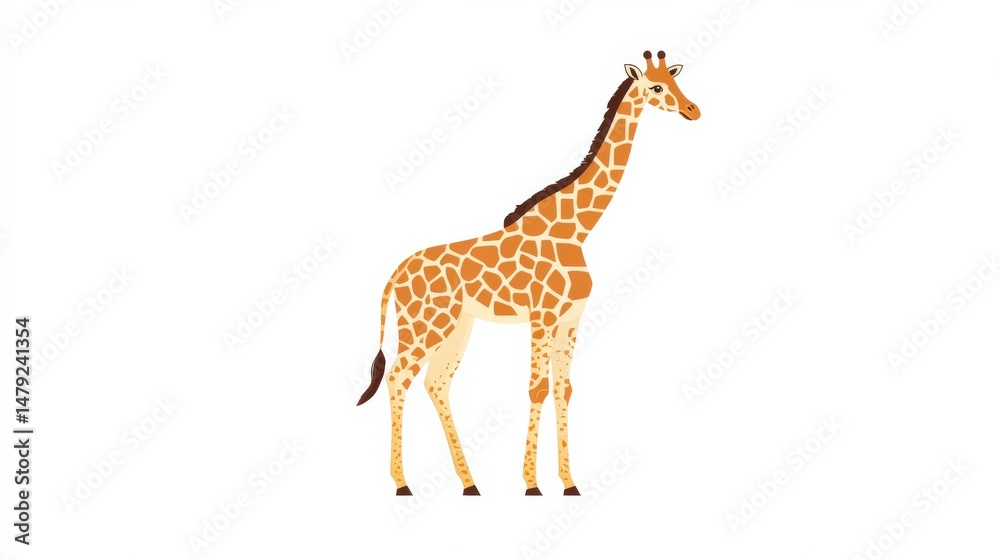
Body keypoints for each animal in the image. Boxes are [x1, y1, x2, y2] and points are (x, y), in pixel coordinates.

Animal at [357, 51, 700, 496]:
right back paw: (402, 484)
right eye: (657, 87)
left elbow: (563, 389)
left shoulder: (570, 318)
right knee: (399, 378)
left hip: (457, 326)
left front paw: (569, 483)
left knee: (436, 382)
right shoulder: (542, 315)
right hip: (424, 324)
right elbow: (537, 388)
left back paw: (470, 483)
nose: (693, 110)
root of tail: (395, 274)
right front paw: (532, 484)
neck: (577, 228)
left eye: (675, 82)